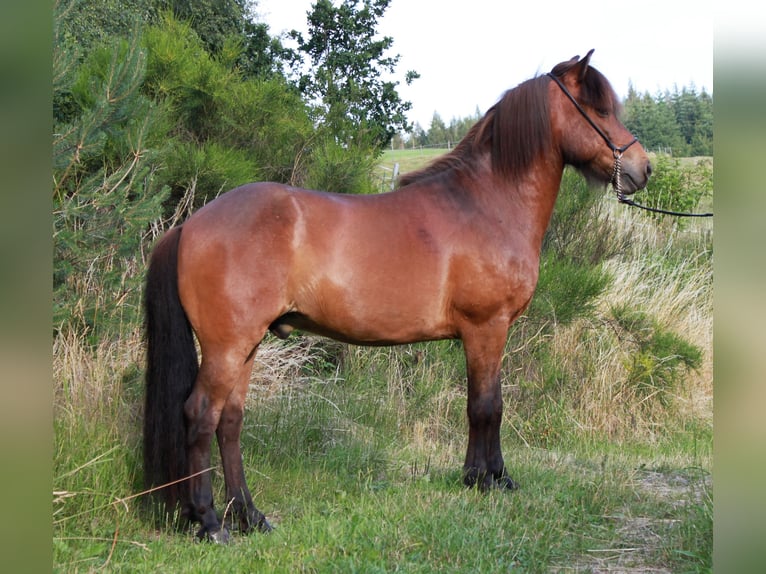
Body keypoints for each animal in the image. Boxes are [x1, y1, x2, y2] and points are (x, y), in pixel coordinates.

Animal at [143, 49, 652, 542]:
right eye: (599, 109)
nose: (643, 168)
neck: (487, 204)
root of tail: (190, 225)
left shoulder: (487, 332)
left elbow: (486, 403)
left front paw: (485, 476)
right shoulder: (487, 327)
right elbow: (487, 406)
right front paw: (487, 480)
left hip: (247, 346)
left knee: (230, 421)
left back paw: (250, 516)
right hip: (227, 347)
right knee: (200, 416)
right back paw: (211, 523)